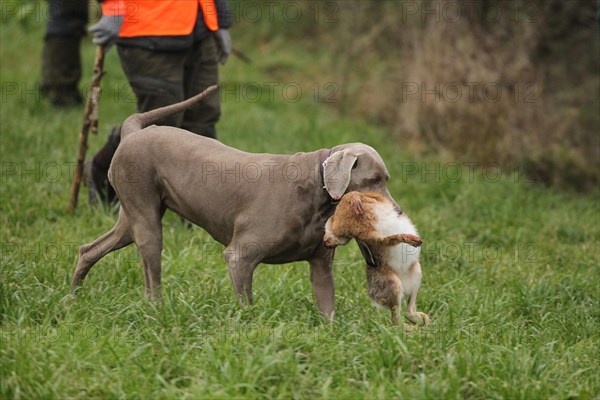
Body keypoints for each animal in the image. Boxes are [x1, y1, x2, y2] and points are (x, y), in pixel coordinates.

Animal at [71, 86, 398, 320]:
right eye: (373, 180)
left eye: (386, 179)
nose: (398, 211)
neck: (315, 190)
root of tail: (133, 132)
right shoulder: (240, 257)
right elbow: (246, 305)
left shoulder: (320, 266)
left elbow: (328, 311)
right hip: (146, 221)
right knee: (151, 279)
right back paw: (156, 312)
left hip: (131, 219)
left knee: (89, 250)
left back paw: (73, 296)